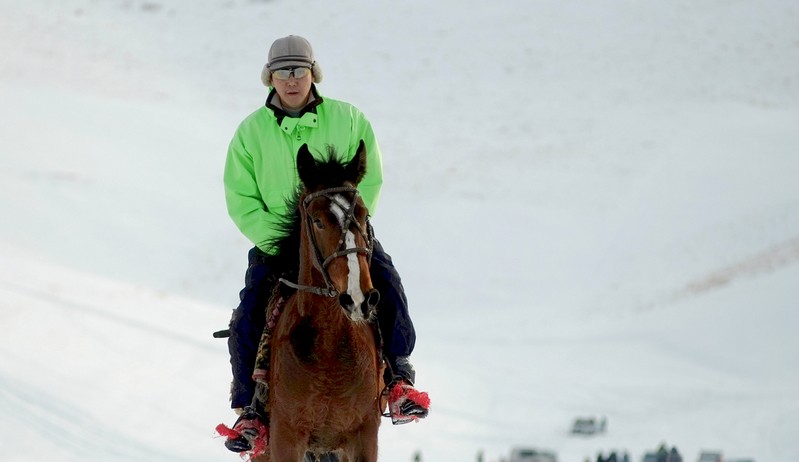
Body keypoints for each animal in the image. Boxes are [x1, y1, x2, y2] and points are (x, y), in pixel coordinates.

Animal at [253, 143, 384, 460]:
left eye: (363, 213)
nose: (360, 299)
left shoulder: (364, 435)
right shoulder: (285, 439)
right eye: (318, 221)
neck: (329, 349)